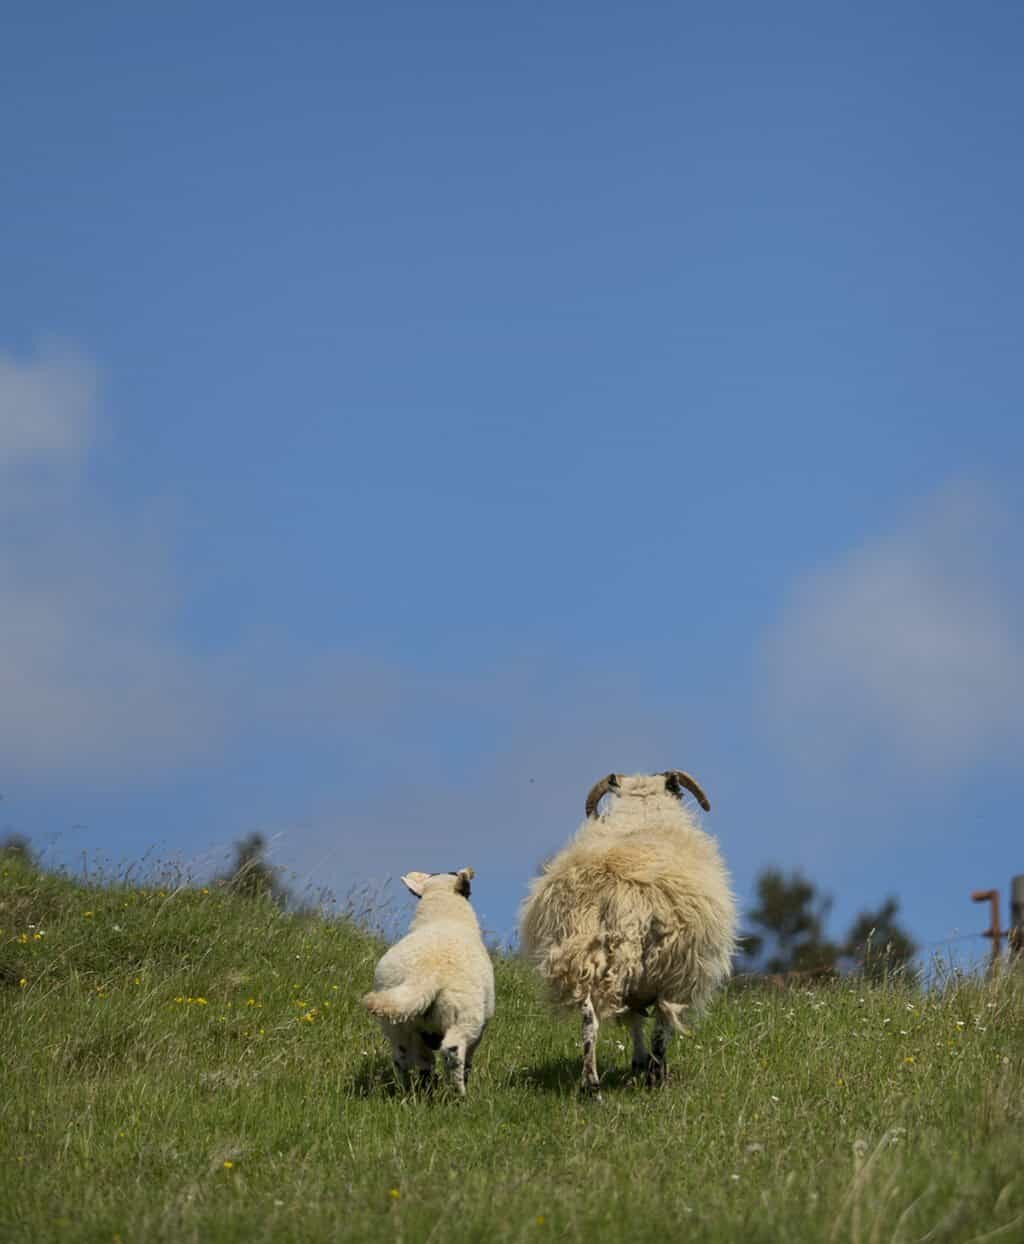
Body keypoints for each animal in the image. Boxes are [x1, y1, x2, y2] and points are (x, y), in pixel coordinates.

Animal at [363, 870, 497, 1094]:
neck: (443, 916)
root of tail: (426, 975)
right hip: (464, 1015)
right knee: (452, 1050)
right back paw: (459, 1094)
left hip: (398, 1023)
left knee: (404, 1058)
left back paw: (408, 1090)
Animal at [520, 771, 736, 1094]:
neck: (643, 811)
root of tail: (618, 895)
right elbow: (650, 1026)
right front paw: (648, 1069)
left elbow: (634, 1021)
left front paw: (637, 1063)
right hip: (669, 966)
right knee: (661, 1025)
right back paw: (655, 1078)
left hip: (581, 953)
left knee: (589, 1021)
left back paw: (591, 1084)